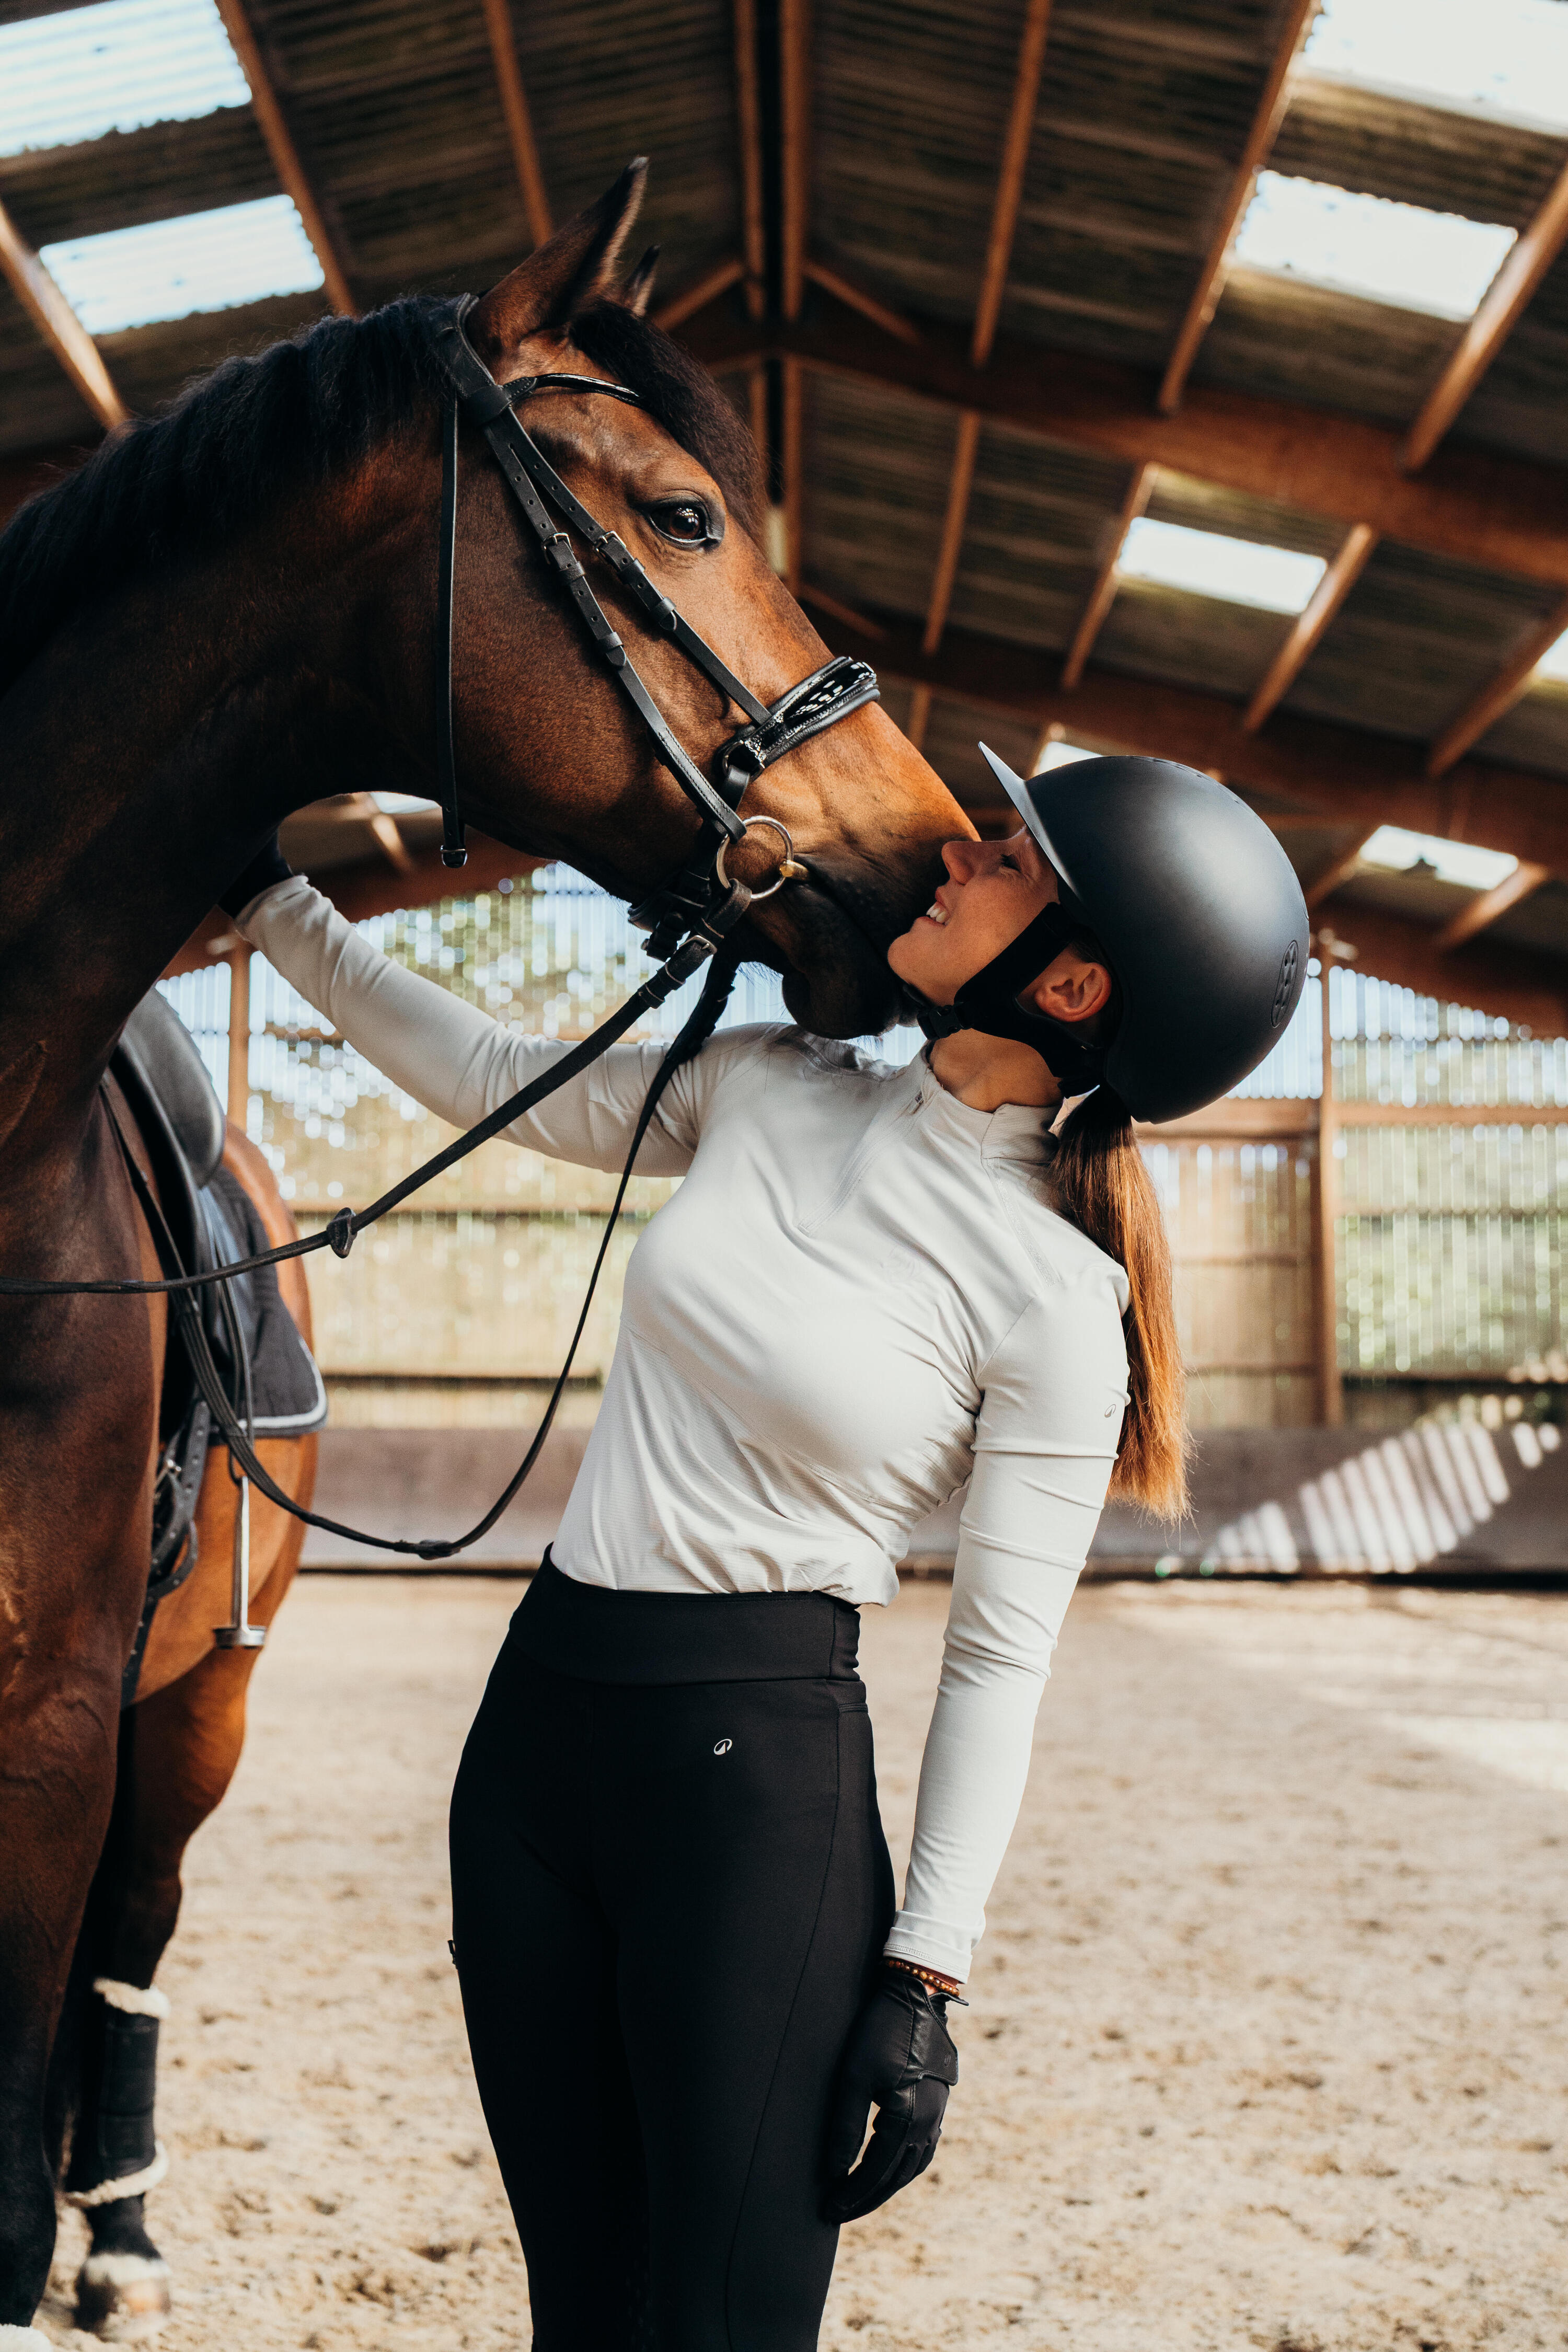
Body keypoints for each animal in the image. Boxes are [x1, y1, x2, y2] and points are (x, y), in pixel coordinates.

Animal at [0, 157, 968, 2339]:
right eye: (683, 517)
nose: (936, 852)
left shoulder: (49, 1720)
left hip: (193, 1709)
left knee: (130, 1940)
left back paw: (123, 2231)